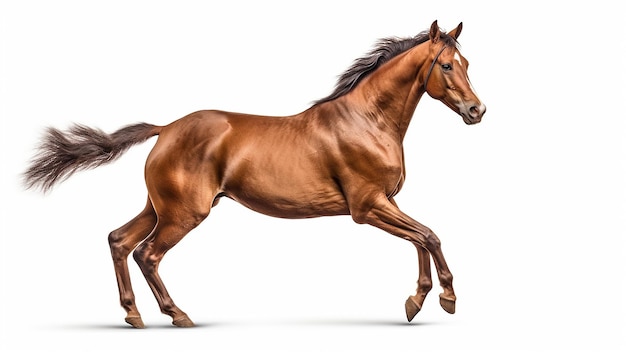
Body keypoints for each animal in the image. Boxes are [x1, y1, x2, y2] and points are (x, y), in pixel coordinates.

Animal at [23, 20, 482, 328]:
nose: (477, 110)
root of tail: (165, 129)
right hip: (183, 214)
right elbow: (429, 236)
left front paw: (415, 301)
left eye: (466, 62)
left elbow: (419, 239)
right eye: (445, 65)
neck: (366, 120)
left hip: (160, 208)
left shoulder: (387, 201)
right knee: (147, 254)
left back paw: (133, 315)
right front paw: (447, 297)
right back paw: (178, 315)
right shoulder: (367, 206)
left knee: (119, 240)